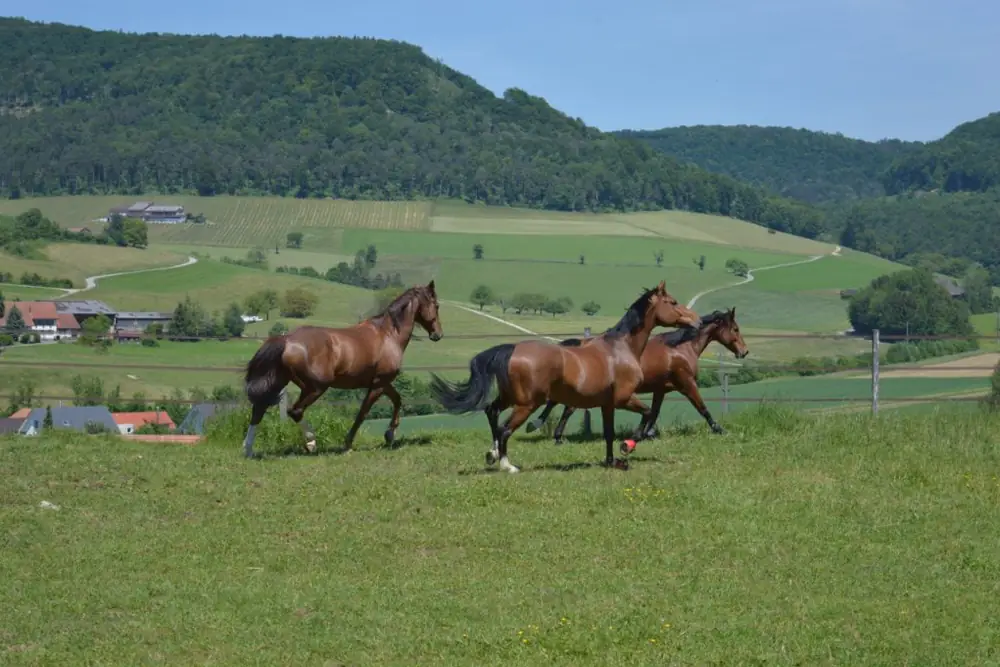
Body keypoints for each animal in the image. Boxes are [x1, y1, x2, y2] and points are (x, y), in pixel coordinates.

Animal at [241, 281, 443, 458]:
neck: (388, 334)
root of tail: (287, 340)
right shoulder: (379, 384)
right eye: (437, 305)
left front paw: (389, 435)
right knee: (295, 411)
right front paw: (348, 444)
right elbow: (363, 413)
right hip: (316, 387)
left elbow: (397, 400)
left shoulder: (382, 383)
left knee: (259, 409)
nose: (438, 334)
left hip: (282, 381)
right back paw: (311, 443)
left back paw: (248, 450)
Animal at [429, 282, 701, 473]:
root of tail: (512, 349)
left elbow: (609, 433)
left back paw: (492, 454)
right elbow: (647, 414)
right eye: (673, 302)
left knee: (491, 412)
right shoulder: (624, 398)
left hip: (511, 397)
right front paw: (628, 447)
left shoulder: (607, 404)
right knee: (505, 429)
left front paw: (612, 461)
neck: (621, 348)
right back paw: (508, 465)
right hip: (527, 403)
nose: (697, 321)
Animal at [528, 308, 749, 443]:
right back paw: (553, 435)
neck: (680, 349)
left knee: (561, 405)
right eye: (735, 328)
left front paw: (646, 434)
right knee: (567, 408)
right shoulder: (687, 383)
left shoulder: (661, 389)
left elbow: (654, 411)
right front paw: (719, 429)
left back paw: (550, 432)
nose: (744, 352)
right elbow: (702, 407)